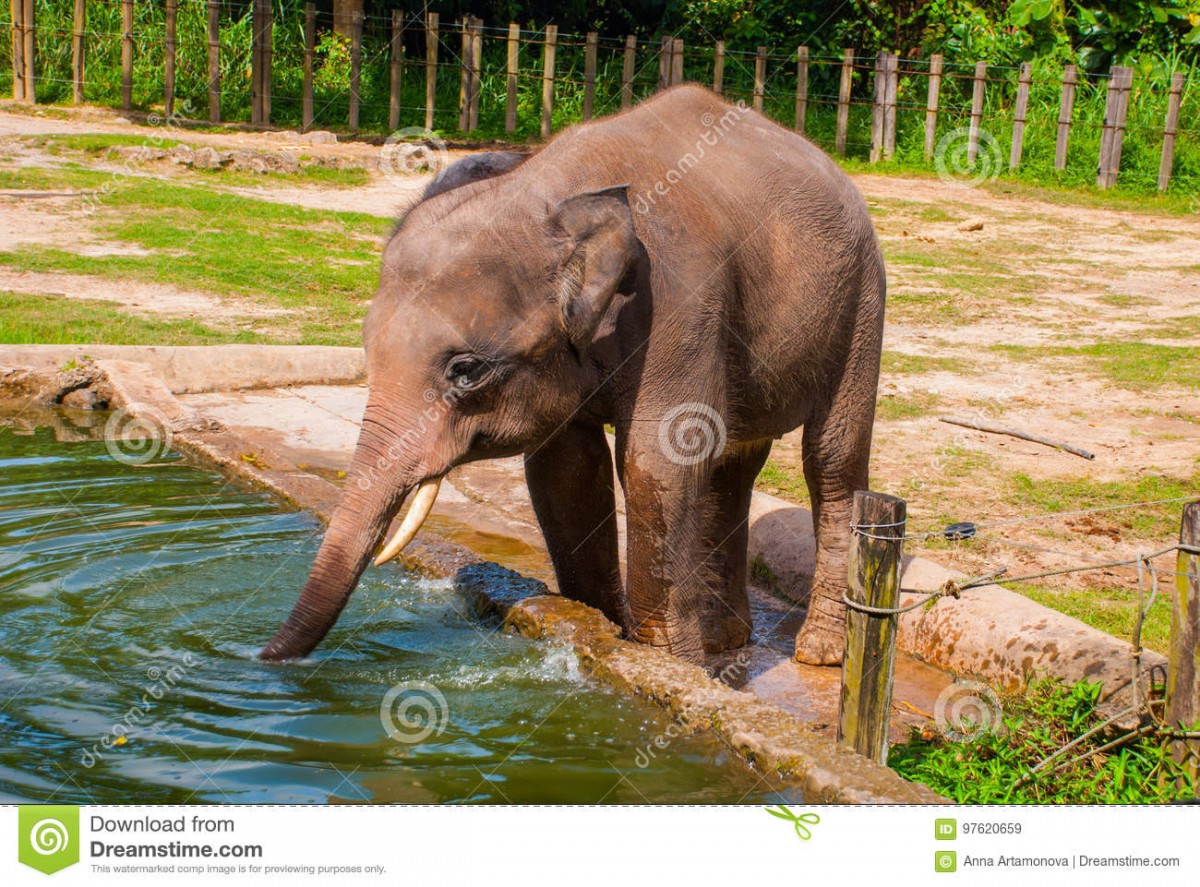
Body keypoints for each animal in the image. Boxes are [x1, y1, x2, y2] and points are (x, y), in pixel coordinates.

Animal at [261, 84, 885, 667]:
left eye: (466, 370)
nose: (262, 659)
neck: (547, 190)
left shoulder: (682, 301)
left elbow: (658, 460)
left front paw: (667, 663)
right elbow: (566, 467)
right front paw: (602, 631)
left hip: (861, 301)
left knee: (831, 460)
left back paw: (817, 652)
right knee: (734, 464)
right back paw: (725, 643)